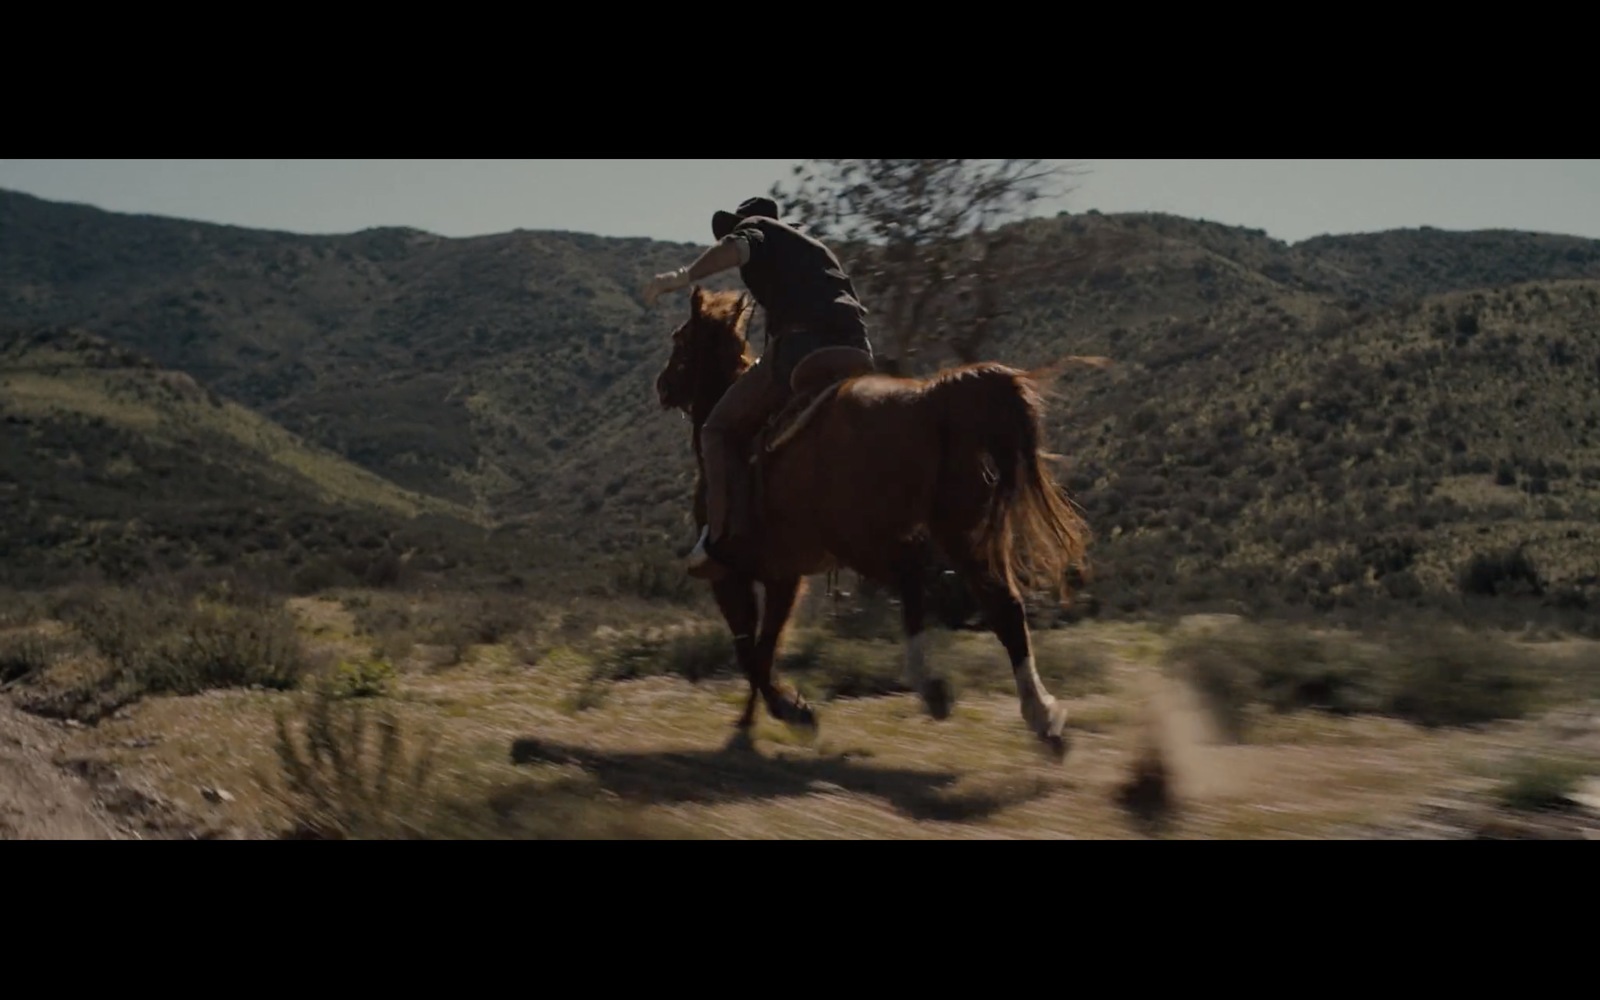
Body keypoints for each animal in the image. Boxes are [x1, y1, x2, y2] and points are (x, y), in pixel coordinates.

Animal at [656, 286, 1107, 755]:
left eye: (681, 341)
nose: (662, 386)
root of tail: (933, 399)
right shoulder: (785, 576)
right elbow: (764, 649)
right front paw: (759, 717)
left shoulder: (730, 576)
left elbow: (750, 653)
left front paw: (790, 712)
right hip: (960, 531)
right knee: (1003, 605)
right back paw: (1040, 716)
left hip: (862, 538)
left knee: (914, 580)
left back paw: (937, 688)